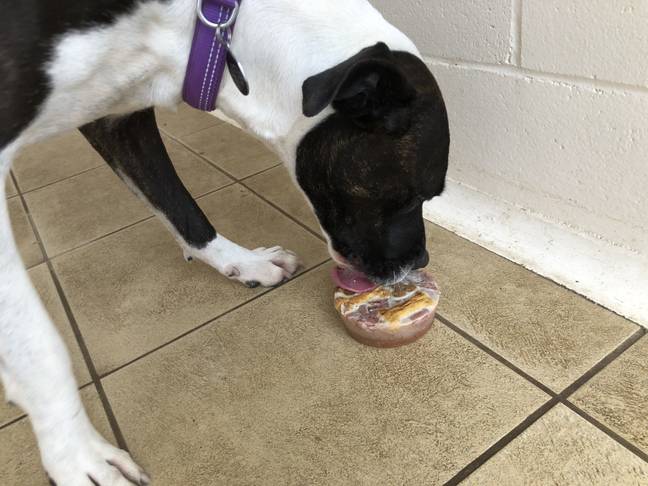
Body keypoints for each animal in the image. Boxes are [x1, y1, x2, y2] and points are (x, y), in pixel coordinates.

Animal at [0, 1, 448, 484]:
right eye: (414, 195)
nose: (421, 258)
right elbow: (39, 345)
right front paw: (77, 456)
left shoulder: (118, 118)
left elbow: (180, 205)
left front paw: (244, 262)